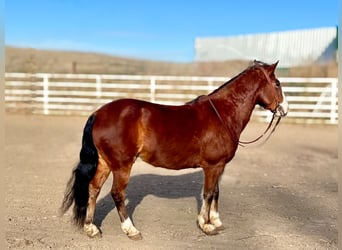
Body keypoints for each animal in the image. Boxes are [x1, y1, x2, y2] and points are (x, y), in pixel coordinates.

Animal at [60, 60, 288, 240]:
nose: (284, 110)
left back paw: (91, 228)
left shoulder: (219, 166)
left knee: (93, 189)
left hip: (105, 163)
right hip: (121, 165)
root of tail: (98, 113)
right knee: (117, 193)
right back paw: (131, 230)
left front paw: (216, 220)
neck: (223, 114)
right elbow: (207, 193)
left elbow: (216, 192)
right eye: (277, 84)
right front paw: (206, 225)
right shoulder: (212, 166)